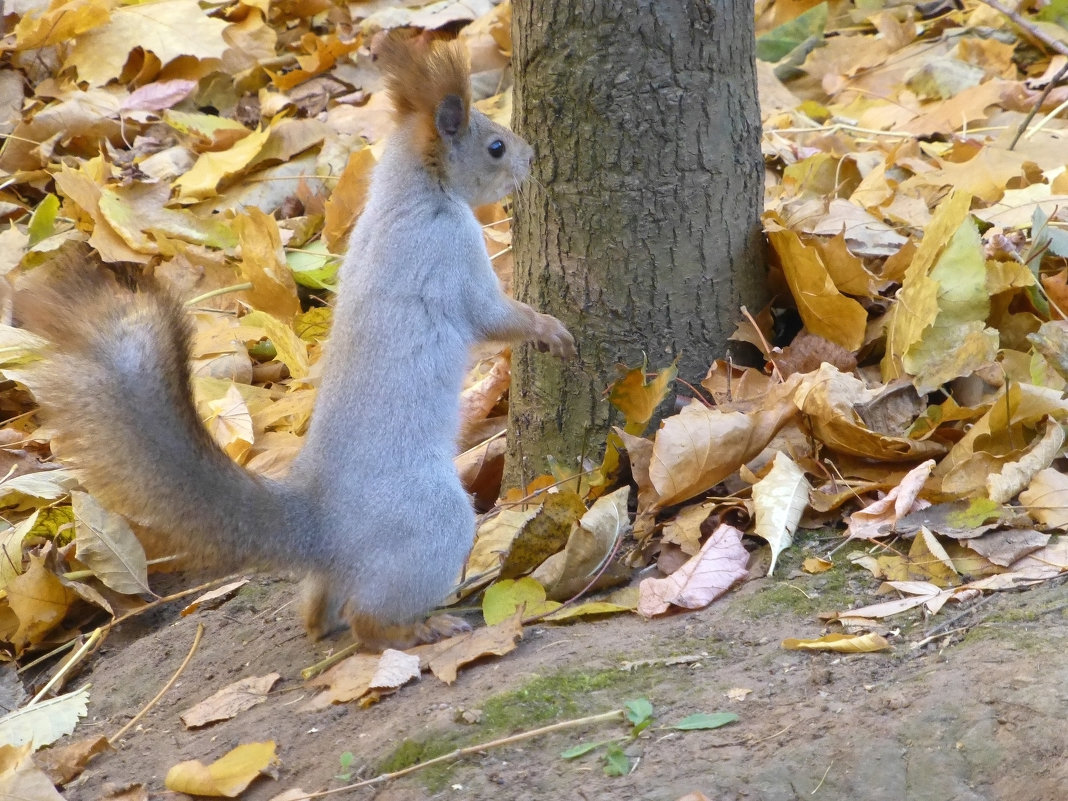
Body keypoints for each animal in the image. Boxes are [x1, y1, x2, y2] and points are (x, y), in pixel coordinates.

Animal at [14, 36, 576, 653]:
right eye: (495, 147)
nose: (529, 159)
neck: (409, 194)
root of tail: (322, 526)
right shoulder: (446, 253)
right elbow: (492, 316)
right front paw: (547, 329)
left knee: (320, 607)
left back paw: (328, 619)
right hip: (433, 521)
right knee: (369, 618)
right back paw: (422, 627)